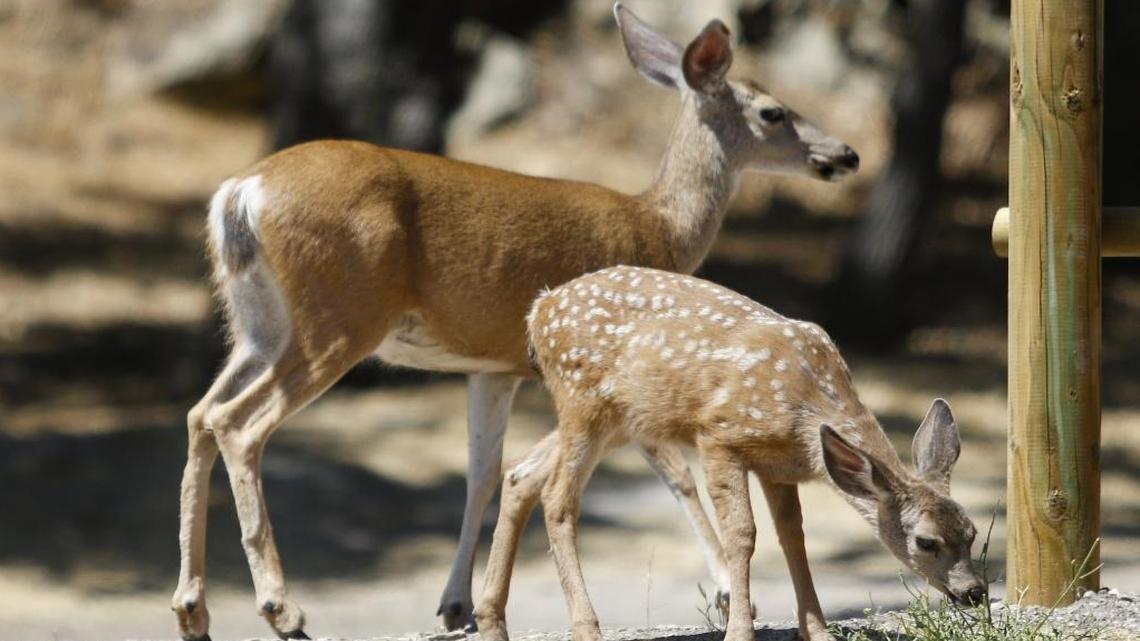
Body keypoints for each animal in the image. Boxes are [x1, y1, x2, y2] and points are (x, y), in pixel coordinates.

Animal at [170, 3, 861, 640]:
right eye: (773, 112)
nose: (847, 153)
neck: (659, 227)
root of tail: (240, 193)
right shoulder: (627, 357)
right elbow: (674, 473)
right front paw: (724, 591)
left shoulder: (493, 367)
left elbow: (482, 473)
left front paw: (456, 605)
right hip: (338, 314)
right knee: (238, 424)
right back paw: (281, 609)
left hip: (258, 324)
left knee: (202, 413)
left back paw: (193, 609)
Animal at [474, 265, 987, 641]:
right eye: (926, 541)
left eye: (972, 532)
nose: (975, 592)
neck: (803, 409)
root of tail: (539, 308)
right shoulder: (719, 437)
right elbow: (743, 534)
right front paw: (740, 631)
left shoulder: (780, 468)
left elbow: (793, 537)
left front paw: (817, 631)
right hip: (583, 402)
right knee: (558, 498)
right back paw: (585, 628)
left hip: (617, 420)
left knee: (520, 474)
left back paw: (491, 622)